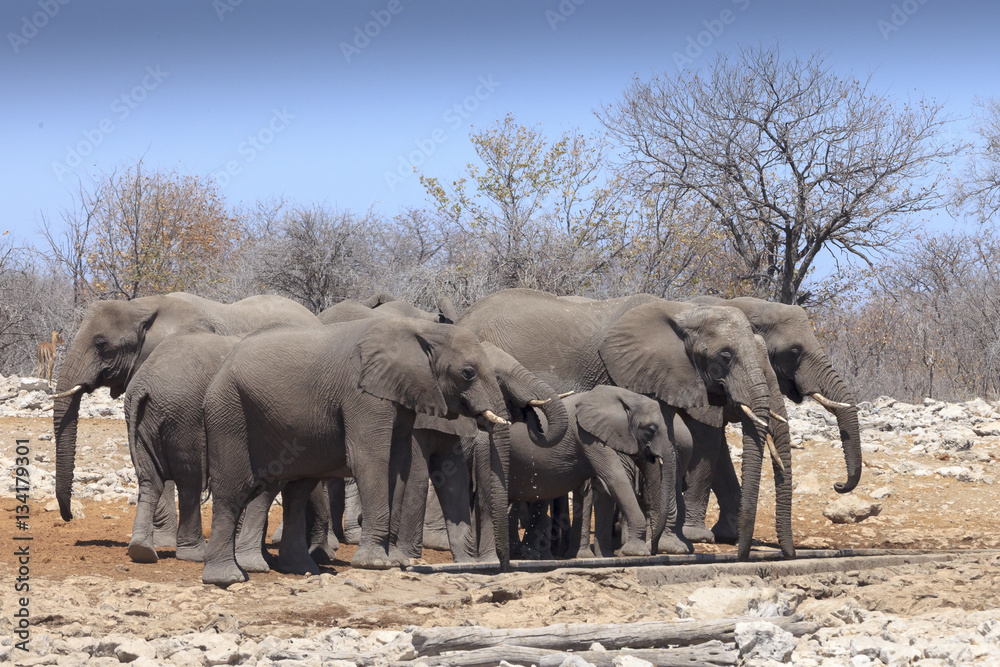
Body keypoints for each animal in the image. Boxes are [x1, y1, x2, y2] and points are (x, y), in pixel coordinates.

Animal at [200, 317, 528, 585]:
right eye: (468, 373)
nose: (503, 567)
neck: (422, 328)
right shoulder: (363, 395)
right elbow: (371, 460)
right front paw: (375, 564)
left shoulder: (401, 395)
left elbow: (399, 465)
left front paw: (395, 561)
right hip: (229, 411)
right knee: (235, 491)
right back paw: (227, 578)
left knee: (297, 489)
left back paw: (302, 569)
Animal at [456, 288, 782, 560]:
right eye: (725, 356)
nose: (742, 554)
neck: (684, 311)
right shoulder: (626, 372)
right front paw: (665, 547)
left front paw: (670, 546)